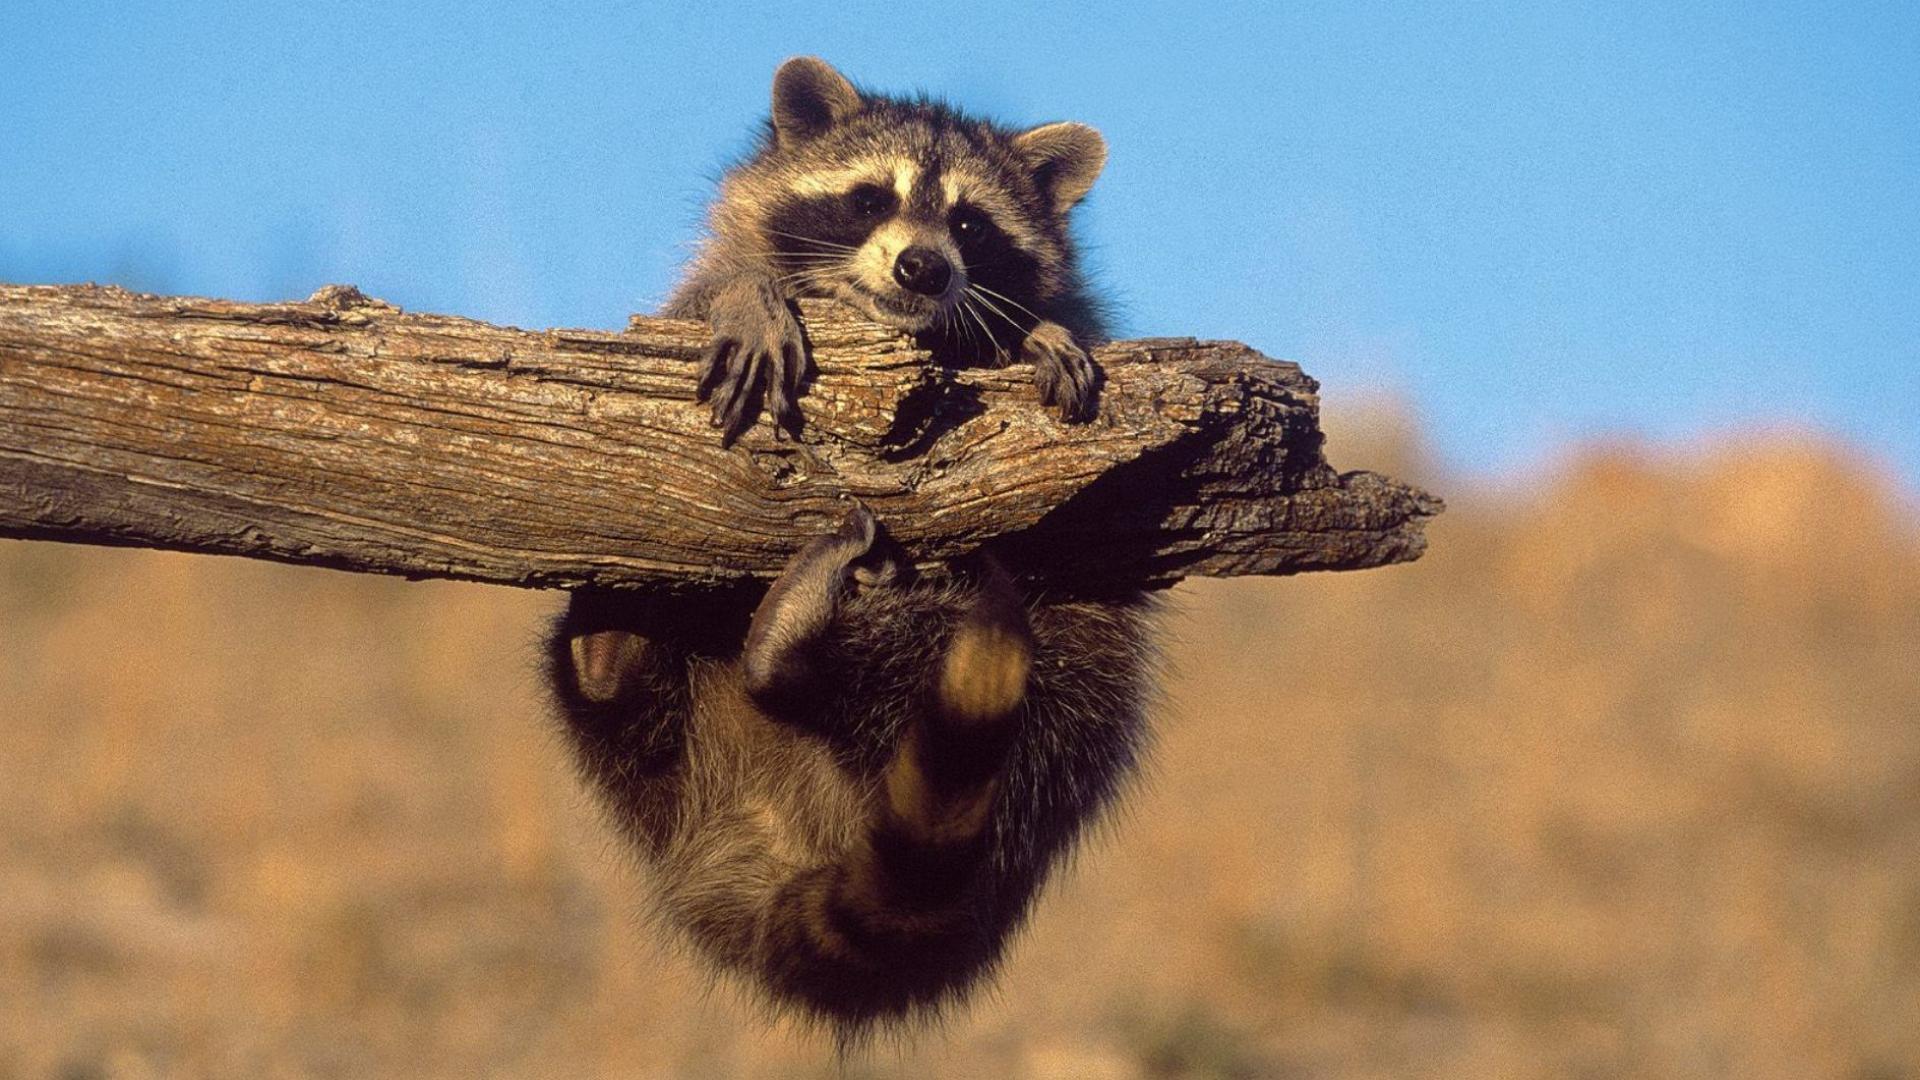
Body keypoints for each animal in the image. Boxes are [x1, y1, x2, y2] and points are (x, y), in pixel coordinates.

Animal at [670, 55, 1110, 445]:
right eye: (869, 201)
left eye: (969, 226)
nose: (924, 268)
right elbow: (695, 300)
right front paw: (747, 293)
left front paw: (1033, 330)